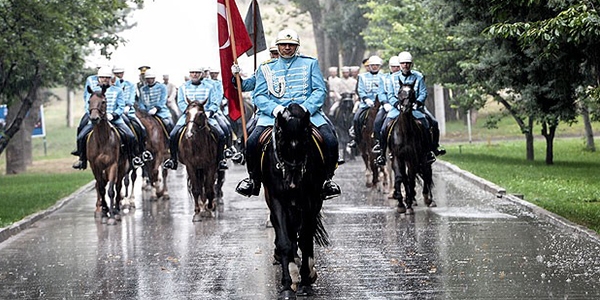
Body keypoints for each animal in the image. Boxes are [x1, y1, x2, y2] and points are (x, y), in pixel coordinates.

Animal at [85, 86, 129, 225]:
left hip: (121, 168)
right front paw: (104, 212)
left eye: (103, 101)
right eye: (89, 101)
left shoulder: (112, 165)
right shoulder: (95, 167)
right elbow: (101, 188)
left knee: (118, 185)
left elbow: (110, 190)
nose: (94, 118)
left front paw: (112, 216)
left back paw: (117, 209)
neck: (102, 140)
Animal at [262, 103, 328, 300]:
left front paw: (305, 281)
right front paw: (286, 285)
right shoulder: (277, 201)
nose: (293, 183)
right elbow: (285, 241)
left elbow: (306, 239)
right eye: (281, 142)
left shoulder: (310, 201)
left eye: (306, 142)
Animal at [386, 82, 434, 213]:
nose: (406, 107)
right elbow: (400, 177)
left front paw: (408, 203)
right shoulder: (397, 157)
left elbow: (411, 178)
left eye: (412, 92)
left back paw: (428, 199)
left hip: (424, 157)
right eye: (399, 92)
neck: (405, 132)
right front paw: (400, 202)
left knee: (426, 173)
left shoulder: (412, 158)